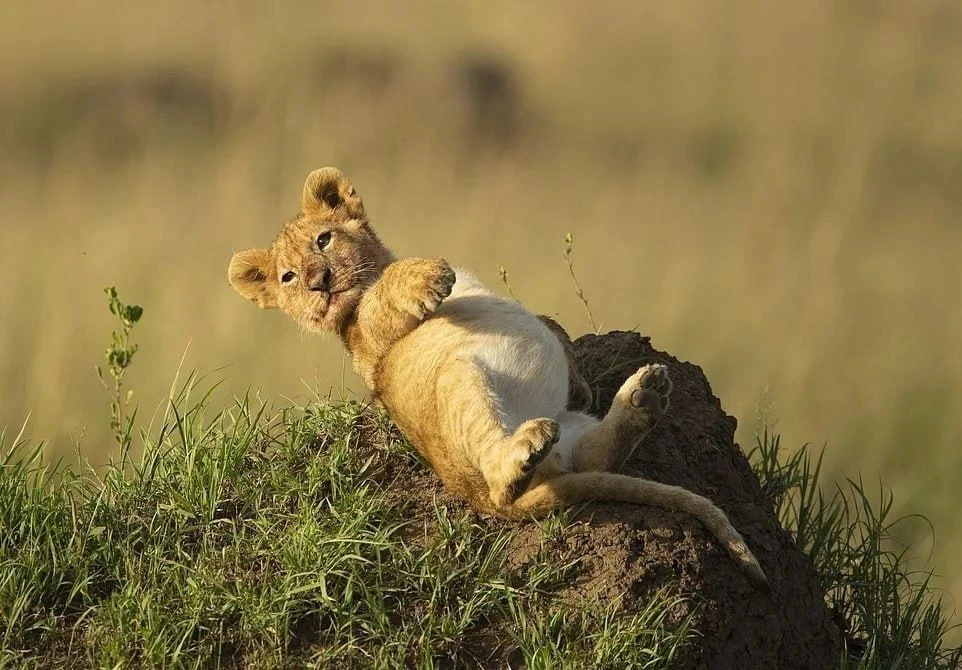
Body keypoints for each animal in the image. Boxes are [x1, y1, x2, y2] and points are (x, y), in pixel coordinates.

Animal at [228, 167, 768, 588]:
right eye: (287, 278)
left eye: (323, 239)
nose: (317, 283)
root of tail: (479, 500)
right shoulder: (371, 347)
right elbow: (381, 296)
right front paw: (429, 276)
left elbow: (552, 328)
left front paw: (581, 381)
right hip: (462, 384)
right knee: (502, 473)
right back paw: (522, 453)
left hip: (570, 429)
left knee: (593, 453)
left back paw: (644, 397)